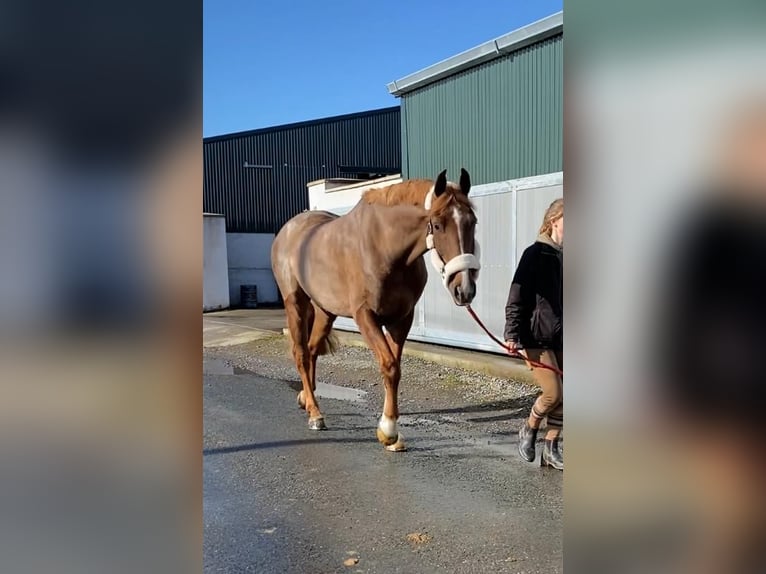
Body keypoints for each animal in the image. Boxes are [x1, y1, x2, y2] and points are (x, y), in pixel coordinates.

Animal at [270, 169, 480, 452]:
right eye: (437, 224)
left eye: (473, 222)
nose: (464, 289)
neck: (384, 246)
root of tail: (288, 230)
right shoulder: (365, 316)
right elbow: (389, 365)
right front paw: (389, 431)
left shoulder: (401, 319)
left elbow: (395, 368)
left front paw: (391, 432)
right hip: (295, 303)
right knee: (301, 354)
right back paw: (315, 413)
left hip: (325, 310)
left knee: (312, 350)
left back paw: (306, 397)